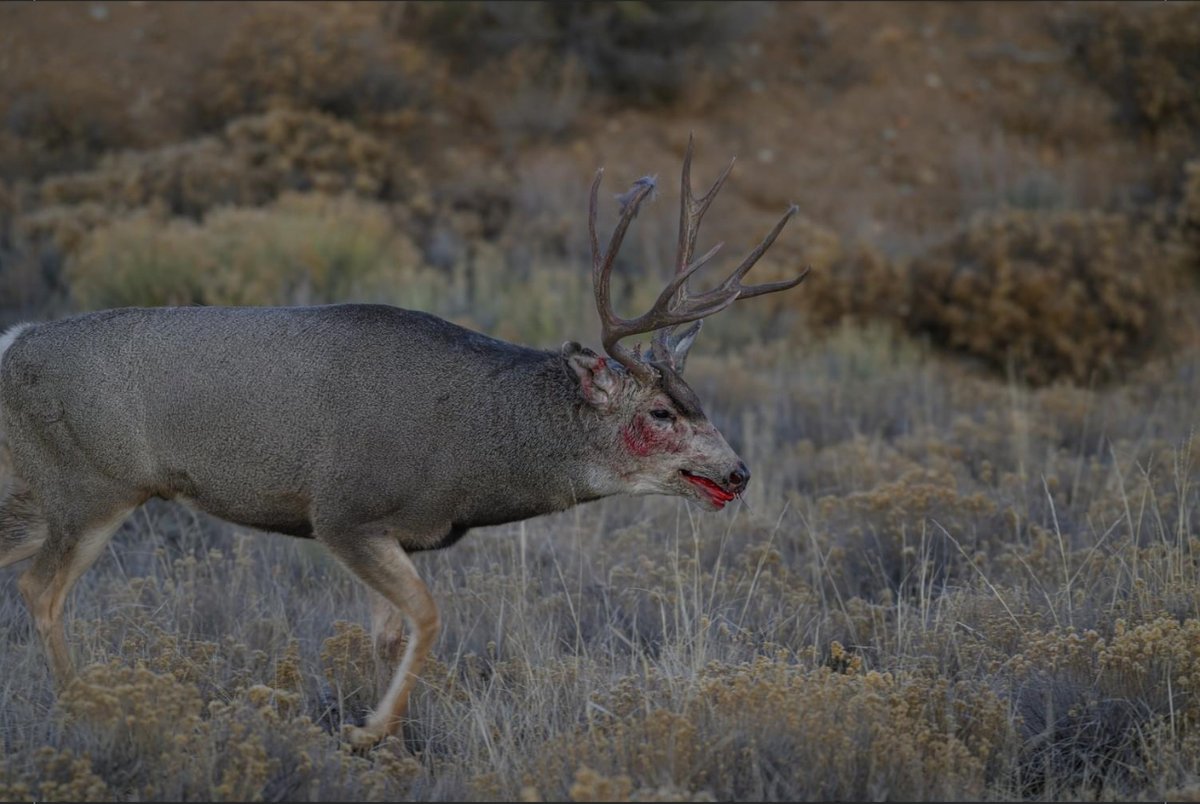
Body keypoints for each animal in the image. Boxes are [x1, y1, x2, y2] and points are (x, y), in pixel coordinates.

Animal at [0, 136, 807, 749]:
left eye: (698, 402)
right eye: (663, 414)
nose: (738, 472)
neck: (473, 440)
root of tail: (16, 339)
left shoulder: (398, 532)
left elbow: (390, 632)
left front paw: (372, 719)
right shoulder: (344, 511)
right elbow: (427, 617)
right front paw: (369, 729)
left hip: (38, 491)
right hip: (88, 486)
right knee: (41, 588)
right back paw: (87, 705)